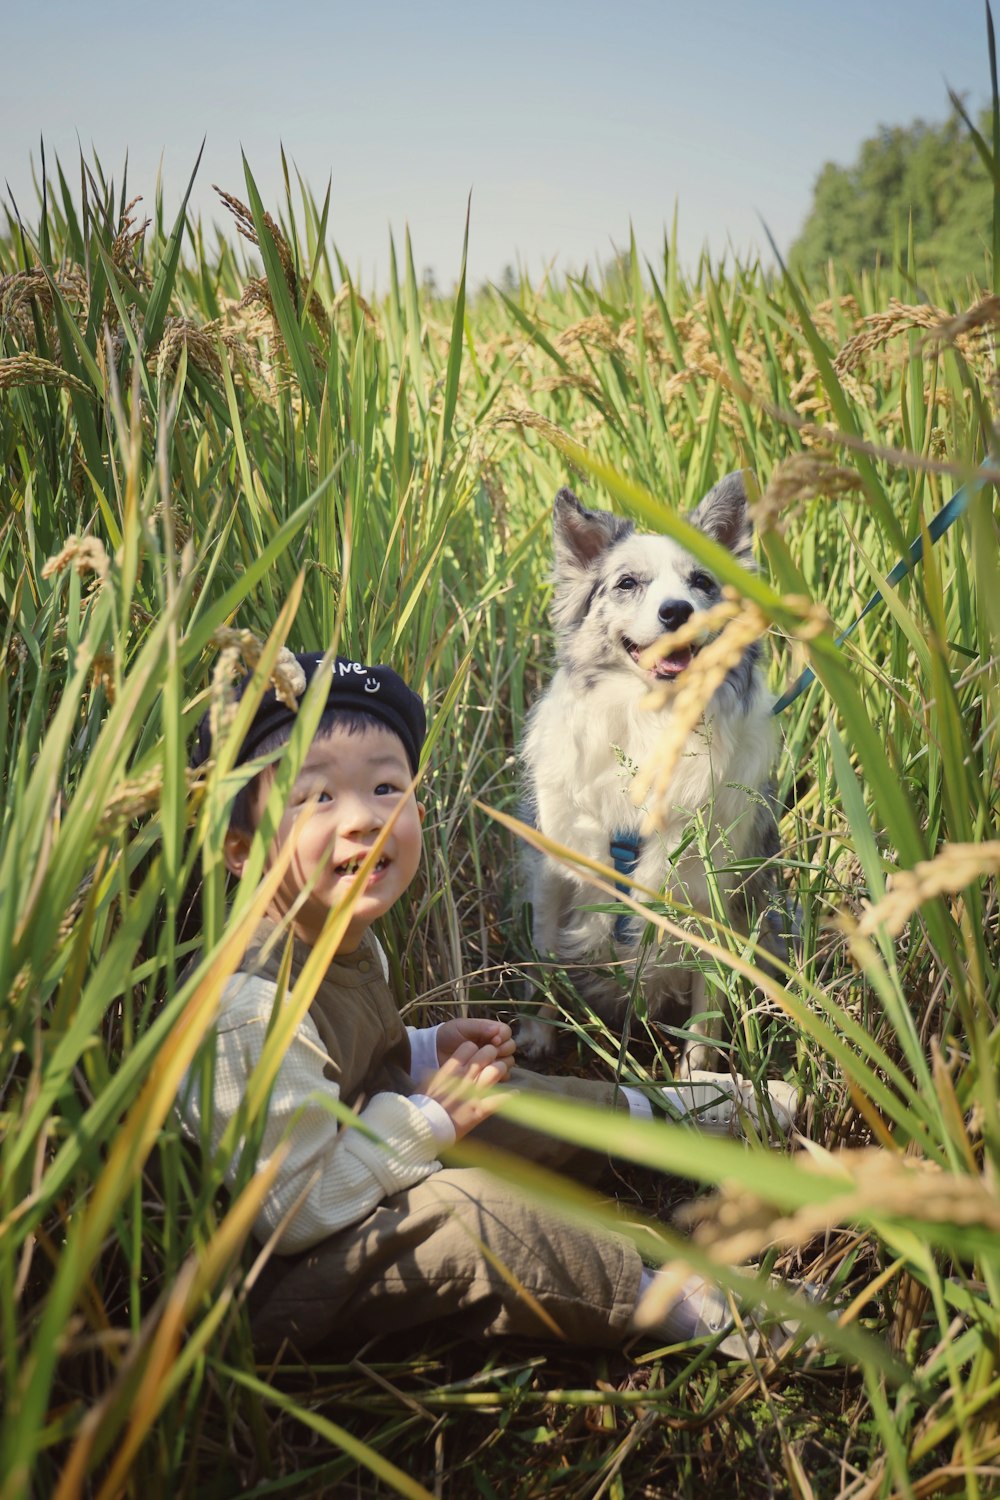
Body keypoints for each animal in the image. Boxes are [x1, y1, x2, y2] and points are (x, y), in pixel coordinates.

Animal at [515, 468, 791, 1068]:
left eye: (703, 582)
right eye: (627, 583)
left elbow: (707, 1011)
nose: (676, 611)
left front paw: (697, 1077)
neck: (653, 718)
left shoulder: (714, 896)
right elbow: (545, 957)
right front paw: (535, 1037)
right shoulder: (557, 871)